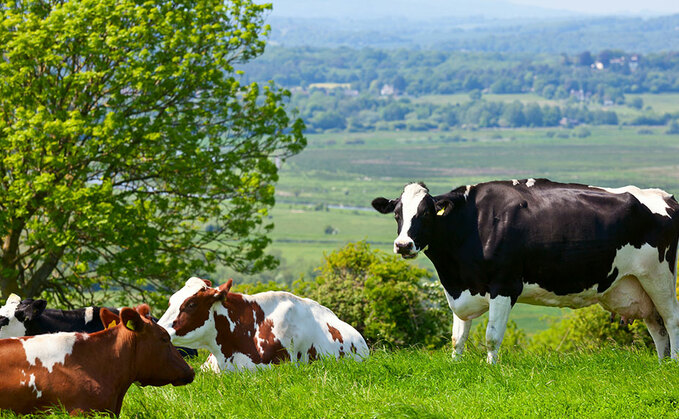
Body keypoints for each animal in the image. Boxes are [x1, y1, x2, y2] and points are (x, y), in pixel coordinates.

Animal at [372, 179, 679, 362]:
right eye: (397, 214)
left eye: (425, 213)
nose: (403, 245)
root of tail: (664, 196)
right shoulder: (462, 288)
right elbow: (457, 339)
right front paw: (455, 365)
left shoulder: (504, 285)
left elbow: (492, 337)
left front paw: (491, 369)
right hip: (637, 283)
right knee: (656, 325)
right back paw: (660, 363)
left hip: (659, 276)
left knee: (671, 319)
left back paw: (672, 363)